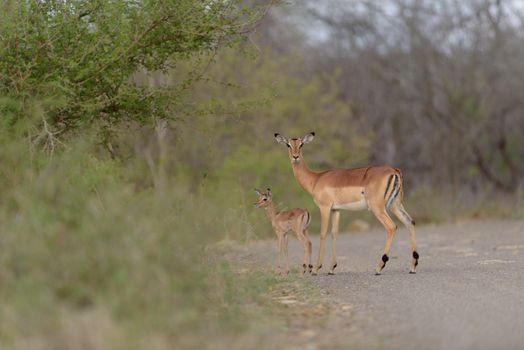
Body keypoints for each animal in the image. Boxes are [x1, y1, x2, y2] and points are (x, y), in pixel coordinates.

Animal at [274, 133, 418, 274]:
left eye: (301, 144)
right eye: (288, 144)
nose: (295, 156)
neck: (316, 179)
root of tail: (394, 170)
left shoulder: (324, 207)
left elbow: (323, 233)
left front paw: (316, 268)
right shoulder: (336, 209)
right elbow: (334, 233)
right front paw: (332, 268)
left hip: (378, 208)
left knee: (391, 227)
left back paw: (379, 267)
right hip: (395, 205)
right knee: (410, 222)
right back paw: (413, 266)